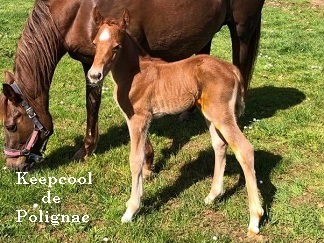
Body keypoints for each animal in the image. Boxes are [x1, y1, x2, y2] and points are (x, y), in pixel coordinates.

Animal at [0, 0, 264, 171]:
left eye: (11, 126)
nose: (12, 166)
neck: (79, 9)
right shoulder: (90, 62)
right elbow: (92, 104)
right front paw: (87, 149)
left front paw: (147, 159)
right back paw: (188, 112)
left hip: (242, 29)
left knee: (241, 63)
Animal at [88, 9, 264, 235]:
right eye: (94, 43)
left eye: (116, 46)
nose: (94, 75)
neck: (135, 73)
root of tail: (232, 69)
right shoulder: (134, 119)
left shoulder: (139, 118)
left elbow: (135, 159)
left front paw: (131, 210)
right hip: (209, 113)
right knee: (219, 145)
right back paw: (213, 195)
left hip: (222, 114)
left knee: (244, 149)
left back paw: (255, 219)